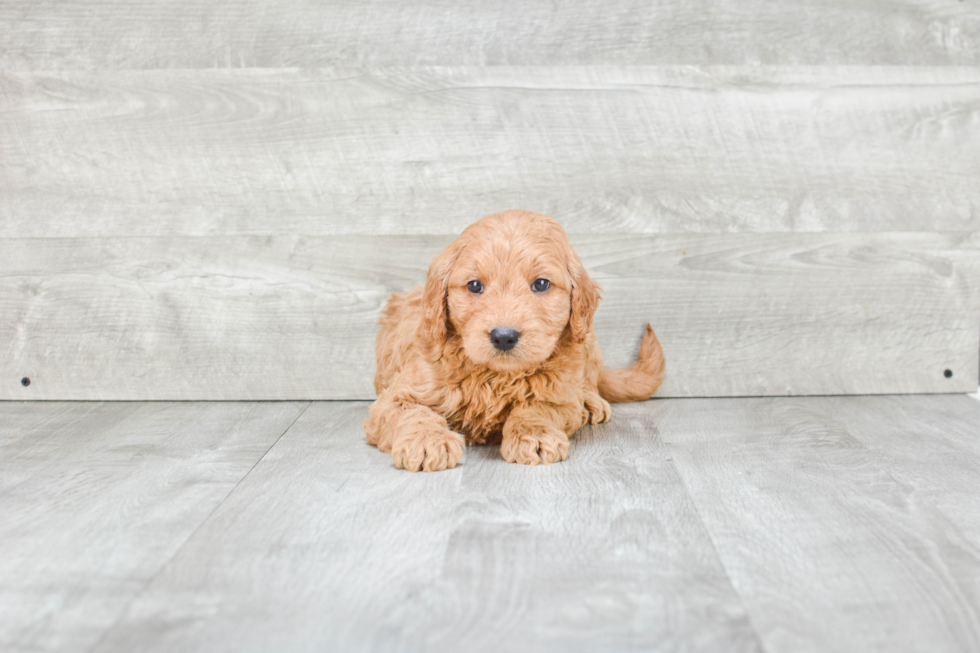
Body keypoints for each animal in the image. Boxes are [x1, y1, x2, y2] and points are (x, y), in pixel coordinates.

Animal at [362, 211, 668, 472]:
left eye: (541, 284)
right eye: (474, 285)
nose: (504, 336)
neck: (495, 376)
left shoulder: (560, 396)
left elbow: (537, 407)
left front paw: (535, 435)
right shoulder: (397, 395)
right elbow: (413, 412)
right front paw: (427, 440)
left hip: (588, 341)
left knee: (591, 379)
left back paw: (592, 401)